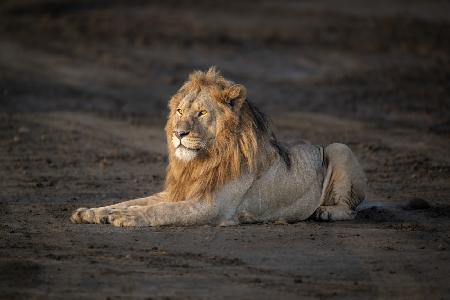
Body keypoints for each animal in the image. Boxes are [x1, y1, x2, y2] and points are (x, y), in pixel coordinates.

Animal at [70, 67, 366, 226]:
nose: (179, 133)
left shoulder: (211, 206)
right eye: (179, 111)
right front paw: (95, 212)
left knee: (350, 209)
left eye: (201, 113)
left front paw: (126, 217)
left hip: (339, 148)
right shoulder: (180, 191)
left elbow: (161, 210)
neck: (200, 161)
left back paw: (325, 211)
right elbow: (134, 201)